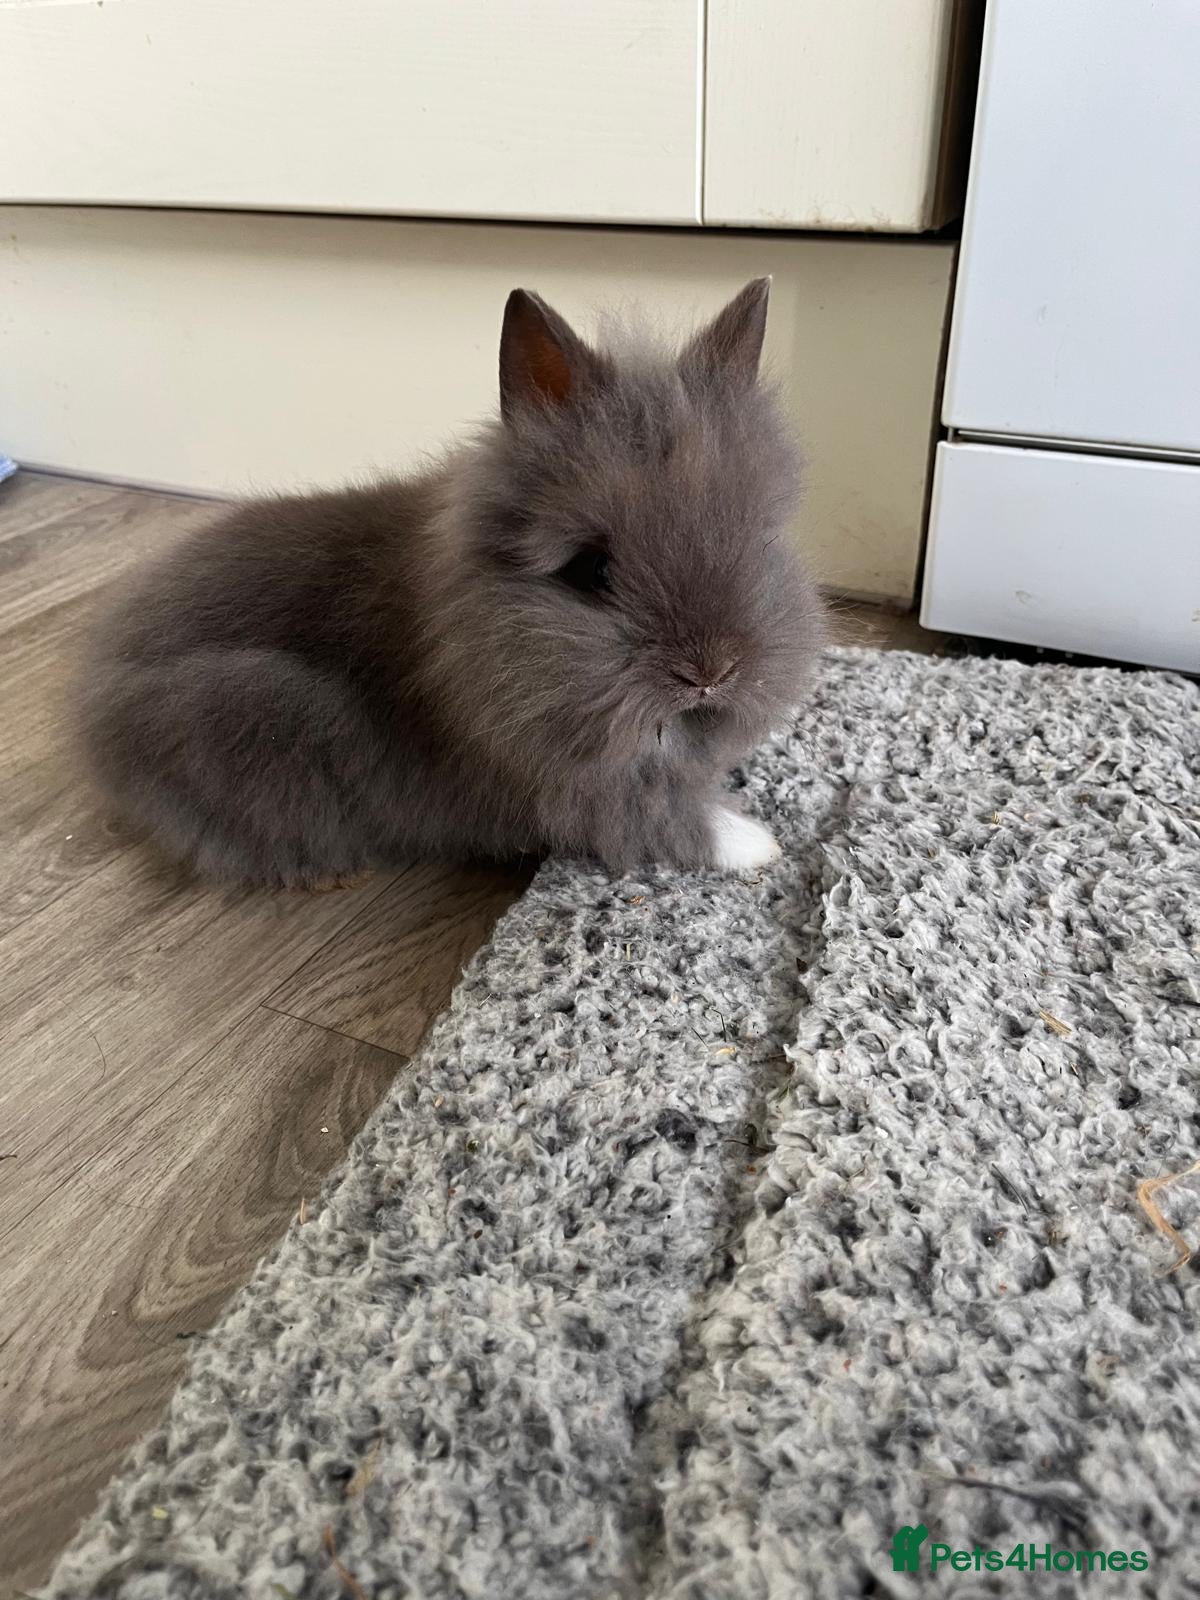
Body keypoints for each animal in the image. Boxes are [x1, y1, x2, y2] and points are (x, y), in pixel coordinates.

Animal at [78, 278, 825, 889]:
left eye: (759, 540)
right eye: (591, 570)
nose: (710, 673)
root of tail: (95, 695)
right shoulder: (571, 790)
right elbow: (662, 822)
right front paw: (759, 844)